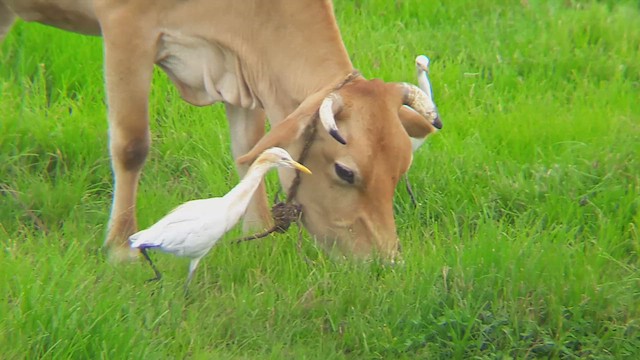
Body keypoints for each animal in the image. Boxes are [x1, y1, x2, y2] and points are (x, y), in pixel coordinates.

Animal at [1, 0, 440, 260]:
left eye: (400, 172)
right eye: (346, 172)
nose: (386, 259)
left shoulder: (238, 68)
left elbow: (250, 152)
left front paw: (256, 234)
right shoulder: (126, 25)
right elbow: (131, 145)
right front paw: (122, 248)